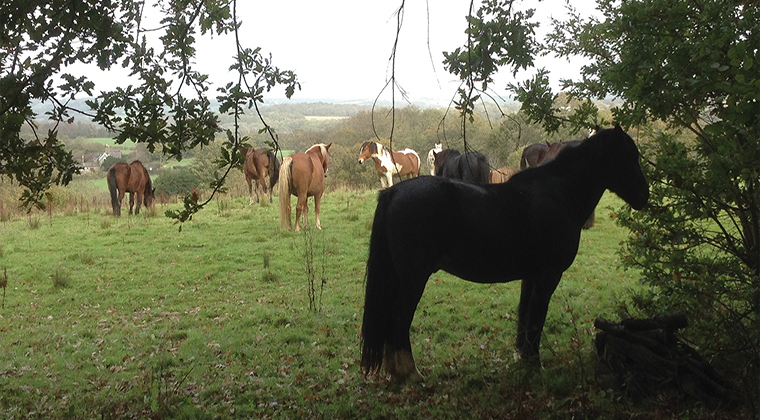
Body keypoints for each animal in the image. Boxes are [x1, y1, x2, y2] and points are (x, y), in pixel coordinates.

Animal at [360, 126, 649, 382]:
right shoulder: (548, 276)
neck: (558, 195)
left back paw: (395, 371)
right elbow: (536, 319)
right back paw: (409, 372)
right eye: (629, 156)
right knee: (398, 319)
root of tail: (393, 192)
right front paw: (534, 364)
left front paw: (523, 358)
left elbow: (524, 316)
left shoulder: (530, 277)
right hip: (413, 279)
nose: (645, 196)